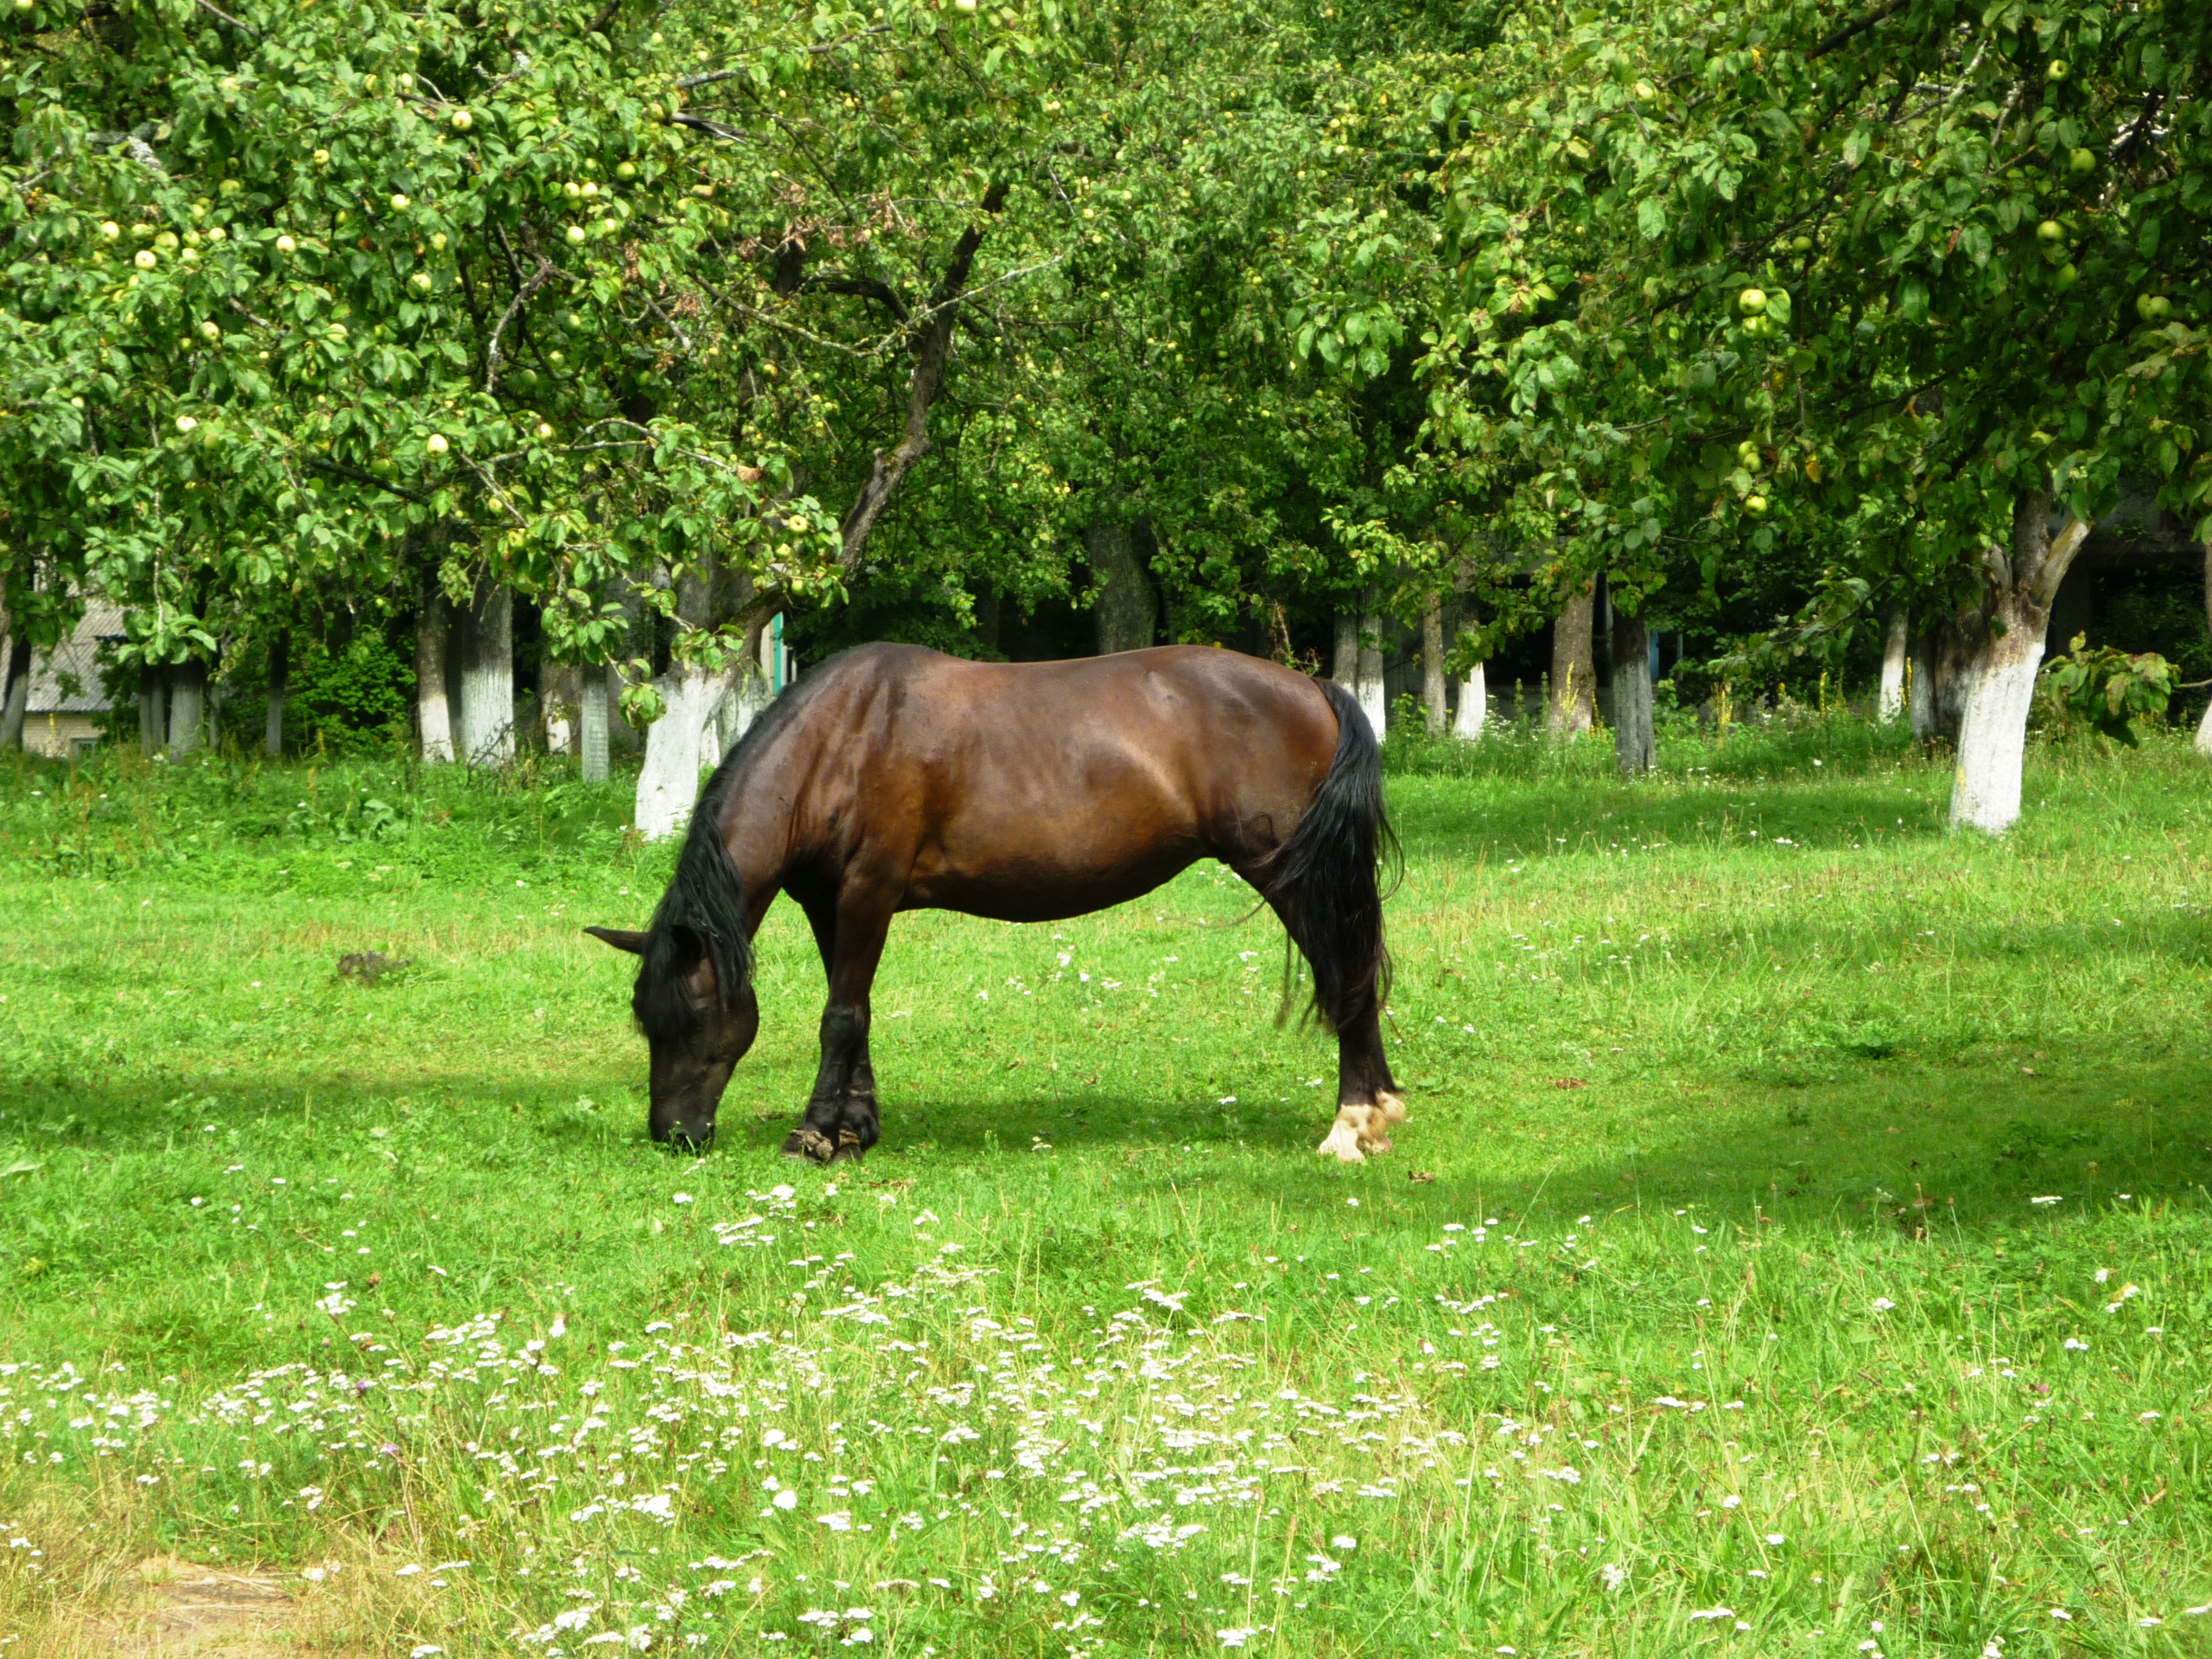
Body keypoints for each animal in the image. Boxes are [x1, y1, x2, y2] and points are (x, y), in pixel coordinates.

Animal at [588, 641, 1398, 1159]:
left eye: (695, 1015)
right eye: (645, 1020)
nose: (676, 1136)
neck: (840, 741)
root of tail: (1312, 690)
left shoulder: (868, 892)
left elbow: (839, 1016)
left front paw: (814, 1135)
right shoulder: (830, 904)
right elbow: (856, 1014)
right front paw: (855, 1127)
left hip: (1296, 880)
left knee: (1347, 976)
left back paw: (1351, 1125)